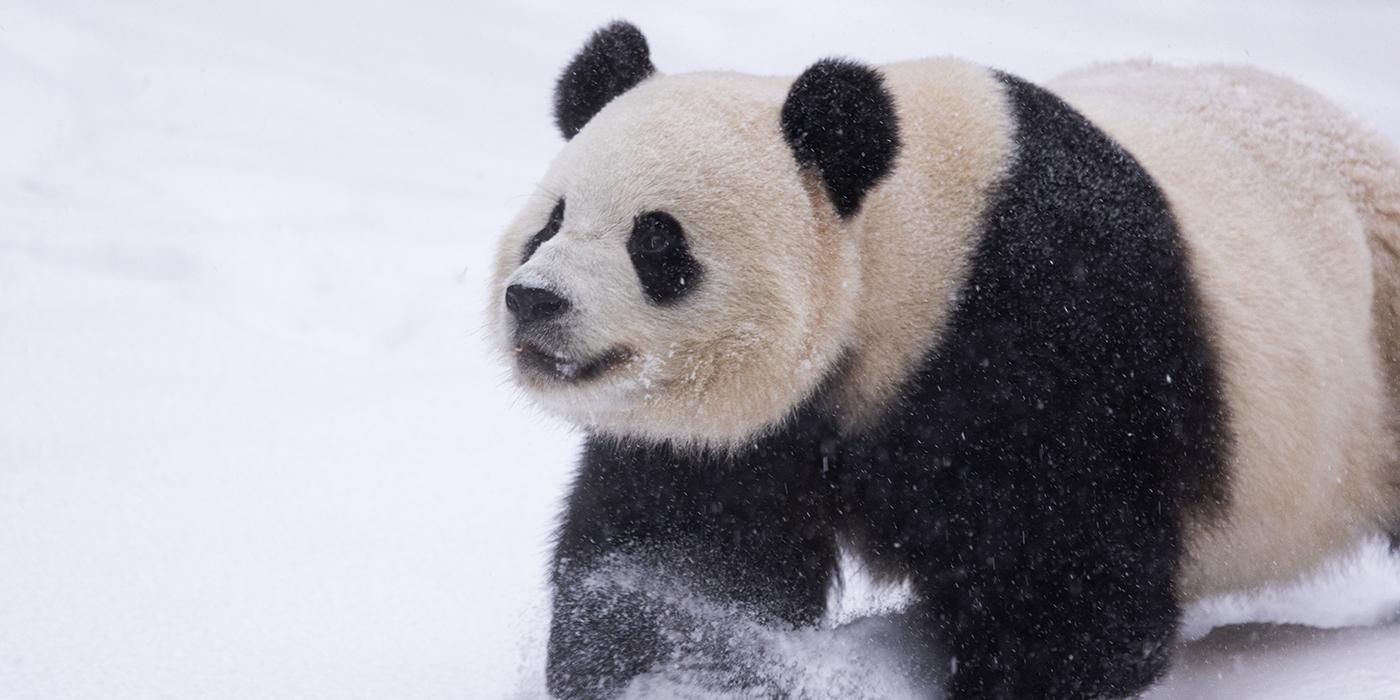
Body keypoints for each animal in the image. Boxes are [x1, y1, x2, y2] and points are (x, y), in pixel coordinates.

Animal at [490, 21, 1400, 700]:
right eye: (552, 221)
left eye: (657, 242)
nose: (534, 299)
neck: (915, 236)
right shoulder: (760, 424)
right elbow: (679, 551)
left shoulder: (1054, 330)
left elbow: (1065, 573)